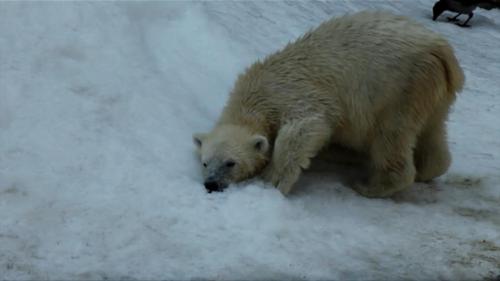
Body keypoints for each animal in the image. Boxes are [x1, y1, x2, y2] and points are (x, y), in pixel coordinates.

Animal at [192, 10, 464, 197]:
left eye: (230, 163)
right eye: (205, 162)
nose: (211, 184)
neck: (256, 95)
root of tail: (442, 52)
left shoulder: (295, 95)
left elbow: (305, 129)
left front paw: (271, 182)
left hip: (397, 88)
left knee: (390, 135)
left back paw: (369, 186)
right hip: (433, 94)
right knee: (433, 130)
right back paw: (429, 169)